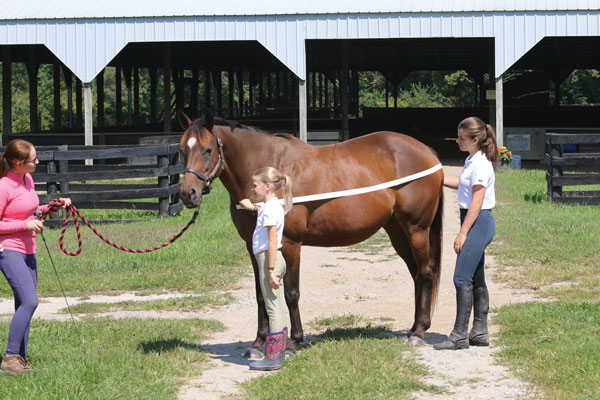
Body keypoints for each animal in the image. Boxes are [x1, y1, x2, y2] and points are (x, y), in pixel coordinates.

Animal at [177, 113, 440, 356]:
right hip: (397, 231)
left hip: (416, 229)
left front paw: (294, 342)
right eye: (182, 149)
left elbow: (291, 293)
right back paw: (413, 328)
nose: (188, 194)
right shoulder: (253, 247)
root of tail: (426, 151)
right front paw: (258, 344)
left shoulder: (291, 244)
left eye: (208, 149)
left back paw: (419, 332)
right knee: (416, 274)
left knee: (426, 272)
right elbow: (261, 294)